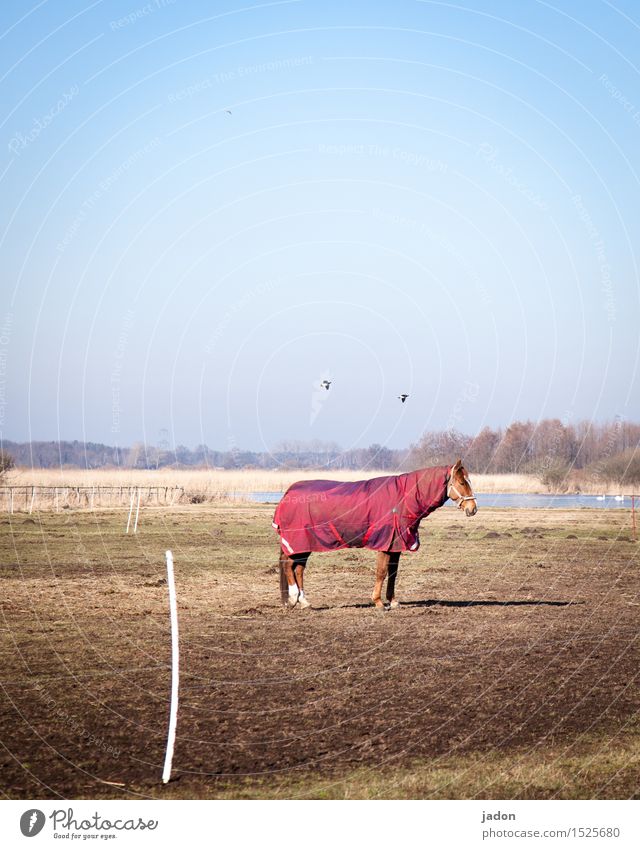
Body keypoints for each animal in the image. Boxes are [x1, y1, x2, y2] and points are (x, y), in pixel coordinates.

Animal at [272, 460, 478, 608]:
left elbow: (393, 573)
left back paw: (304, 601)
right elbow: (381, 572)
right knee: (288, 565)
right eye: (461, 482)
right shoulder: (385, 544)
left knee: (298, 568)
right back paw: (293, 598)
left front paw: (392, 601)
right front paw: (378, 602)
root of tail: (288, 493)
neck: (402, 498)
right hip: (298, 542)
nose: (473, 509)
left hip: (306, 544)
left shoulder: (396, 546)